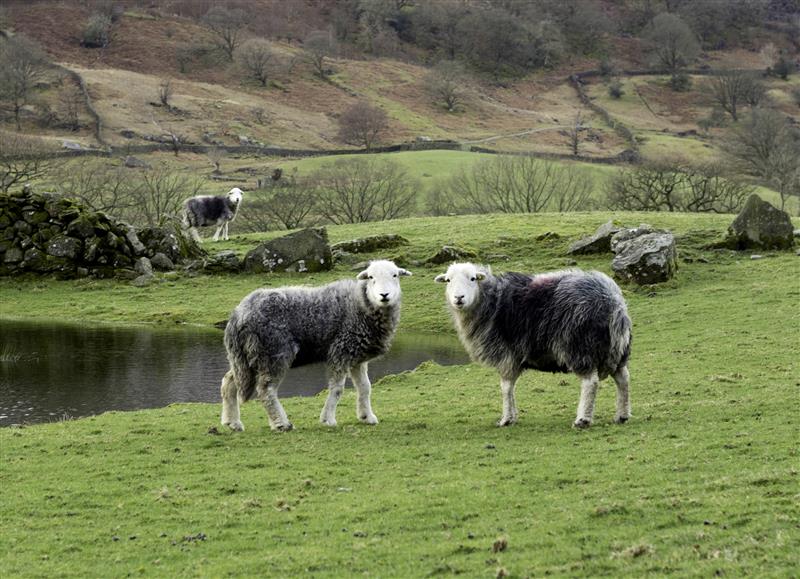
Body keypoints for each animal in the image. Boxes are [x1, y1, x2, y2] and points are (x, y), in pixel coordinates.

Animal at [222, 260, 416, 432]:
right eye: (370, 277)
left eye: (395, 275)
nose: (384, 295)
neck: (362, 303)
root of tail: (239, 314)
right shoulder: (341, 351)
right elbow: (337, 389)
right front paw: (328, 419)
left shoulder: (356, 357)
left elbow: (365, 387)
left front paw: (366, 416)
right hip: (273, 352)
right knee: (266, 390)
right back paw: (281, 424)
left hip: (244, 357)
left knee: (229, 381)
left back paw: (232, 422)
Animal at [434, 266, 636, 428]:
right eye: (448, 280)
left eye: (472, 278)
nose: (458, 298)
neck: (489, 301)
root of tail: (613, 301)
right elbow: (510, 388)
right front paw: (512, 417)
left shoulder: (506, 355)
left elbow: (506, 388)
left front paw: (506, 419)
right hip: (617, 349)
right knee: (623, 378)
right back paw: (622, 415)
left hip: (579, 346)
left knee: (590, 382)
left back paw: (582, 420)